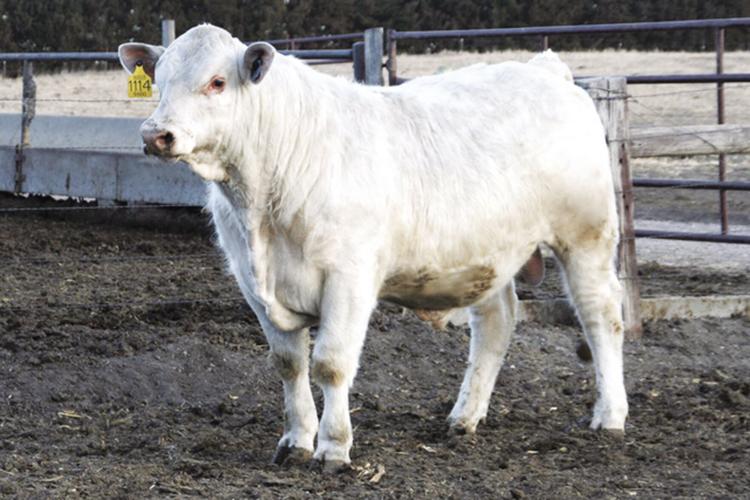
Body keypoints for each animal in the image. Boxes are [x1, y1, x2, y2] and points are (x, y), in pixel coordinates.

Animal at [118, 24, 628, 472]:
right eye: (159, 80)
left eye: (217, 82)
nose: (155, 134)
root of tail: (544, 69)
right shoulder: (253, 284)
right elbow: (288, 364)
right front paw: (296, 441)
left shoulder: (349, 277)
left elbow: (330, 364)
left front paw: (333, 449)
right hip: (488, 254)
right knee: (496, 323)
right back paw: (464, 417)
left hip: (586, 235)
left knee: (601, 315)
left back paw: (610, 416)